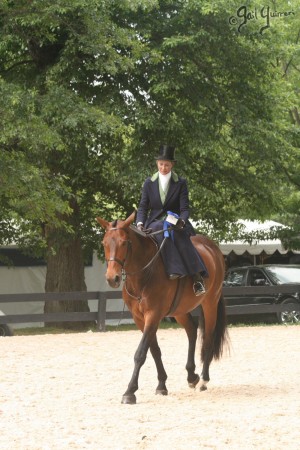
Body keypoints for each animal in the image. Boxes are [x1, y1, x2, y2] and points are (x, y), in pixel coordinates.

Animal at [97, 211, 229, 404]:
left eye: (124, 242)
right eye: (104, 243)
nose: (112, 278)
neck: (143, 274)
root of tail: (212, 248)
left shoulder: (153, 314)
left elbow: (141, 353)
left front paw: (130, 391)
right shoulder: (139, 318)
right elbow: (154, 351)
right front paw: (161, 385)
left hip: (210, 303)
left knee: (208, 339)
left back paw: (204, 380)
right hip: (180, 309)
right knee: (191, 331)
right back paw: (192, 375)